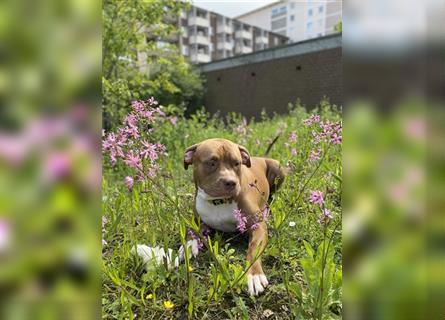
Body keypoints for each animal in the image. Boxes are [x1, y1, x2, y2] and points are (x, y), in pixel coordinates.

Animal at [183, 138, 284, 296]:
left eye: (237, 163)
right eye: (211, 162)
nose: (231, 182)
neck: (219, 201)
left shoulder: (258, 225)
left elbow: (253, 249)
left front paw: (254, 275)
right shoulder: (197, 219)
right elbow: (190, 229)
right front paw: (188, 244)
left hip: (277, 167)